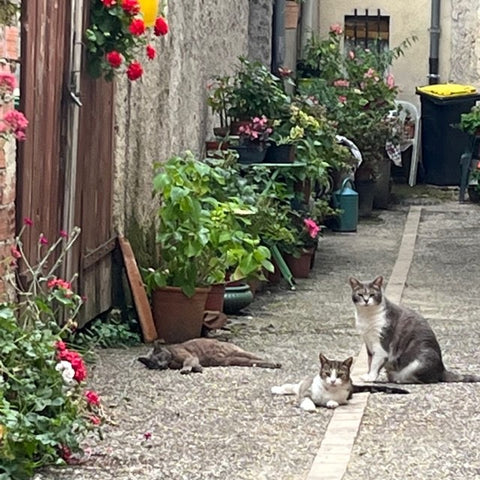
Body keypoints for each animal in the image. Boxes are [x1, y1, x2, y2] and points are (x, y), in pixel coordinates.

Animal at [138, 336, 282, 374]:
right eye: (153, 364)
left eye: (159, 358)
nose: (160, 366)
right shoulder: (194, 359)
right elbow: (195, 364)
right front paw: (198, 368)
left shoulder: (189, 356)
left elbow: (188, 363)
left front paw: (186, 369)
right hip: (235, 360)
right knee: (254, 362)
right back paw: (273, 365)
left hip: (238, 352)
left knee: (258, 357)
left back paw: (275, 363)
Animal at [272, 352, 406, 412]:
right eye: (327, 373)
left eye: (340, 375)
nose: (332, 380)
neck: (328, 390)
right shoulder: (305, 392)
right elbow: (305, 398)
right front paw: (310, 406)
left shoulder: (344, 398)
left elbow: (336, 401)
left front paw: (331, 403)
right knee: (292, 387)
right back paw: (277, 389)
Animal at [348, 276, 480, 384]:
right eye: (360, 294)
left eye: (372, 294)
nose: (366, 300)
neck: (367, 316)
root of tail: (442, 369)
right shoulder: (368, 342)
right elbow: (370, 361)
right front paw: (368, 374)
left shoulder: (382, 342)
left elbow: (375, 362)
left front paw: (370, 377)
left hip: (421, 359)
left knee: (425, 379)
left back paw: (401, 379)